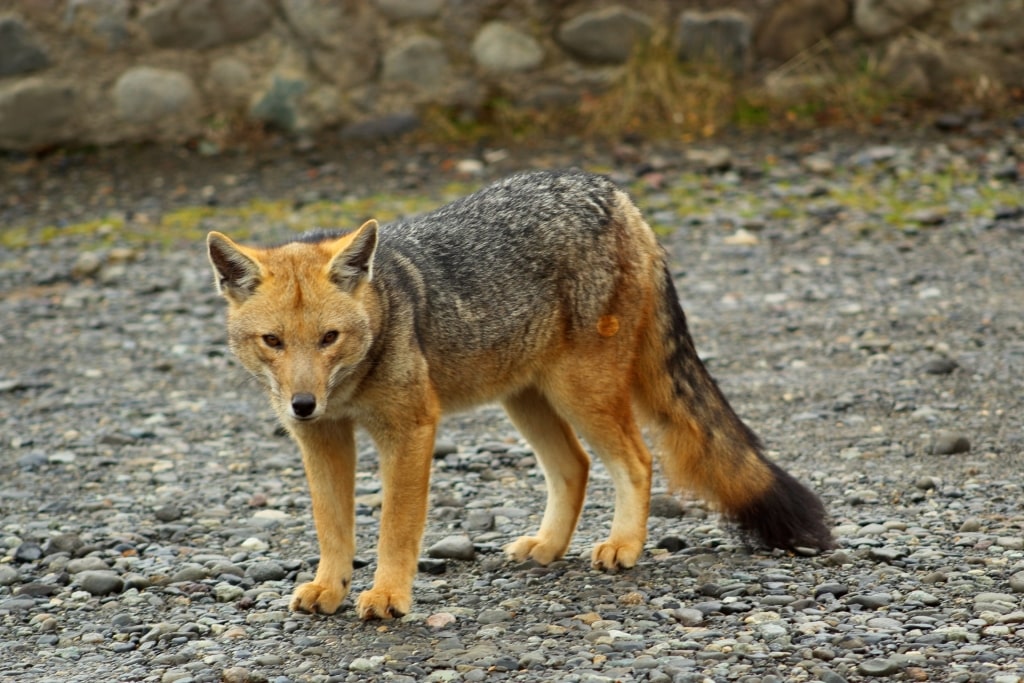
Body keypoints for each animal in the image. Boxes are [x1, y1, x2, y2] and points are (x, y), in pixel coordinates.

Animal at [205, 169, 831, 618]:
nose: (302, 405)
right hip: (528, 399)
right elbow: (332, 525)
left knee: (637, 459)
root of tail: (613, 192)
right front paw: (329, 587)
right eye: (273, 342)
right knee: (575, 466)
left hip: (582, 393)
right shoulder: (324, 440)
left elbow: (395, 529)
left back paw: (624, 546)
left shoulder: (409, 430)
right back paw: (549, 547)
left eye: (329, 338)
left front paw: (387, 596)